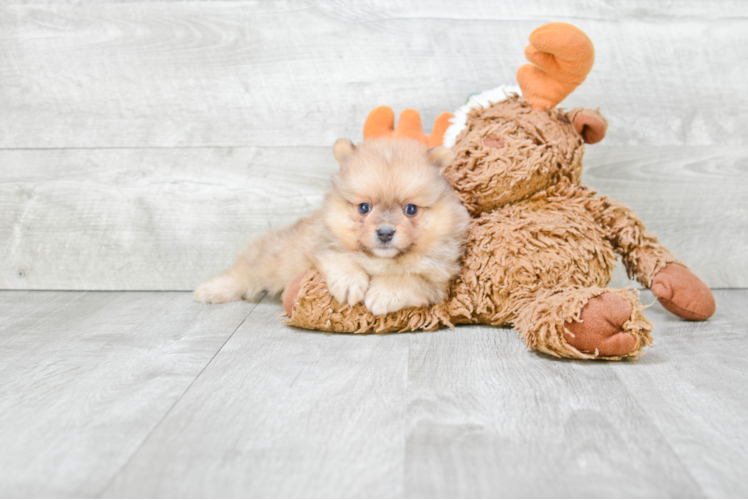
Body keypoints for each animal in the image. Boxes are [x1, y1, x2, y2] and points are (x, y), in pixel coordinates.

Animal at [196, 137, 470, 314]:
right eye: (364, 208)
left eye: (411, 209)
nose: (384, 233)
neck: (380, 260)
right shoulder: (322, 245)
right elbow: (339, 257)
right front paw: (350, 283)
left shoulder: (437, 279)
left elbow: (408, 279)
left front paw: (383, 294)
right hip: (273, 258)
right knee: (244, 272)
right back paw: (210, 290)